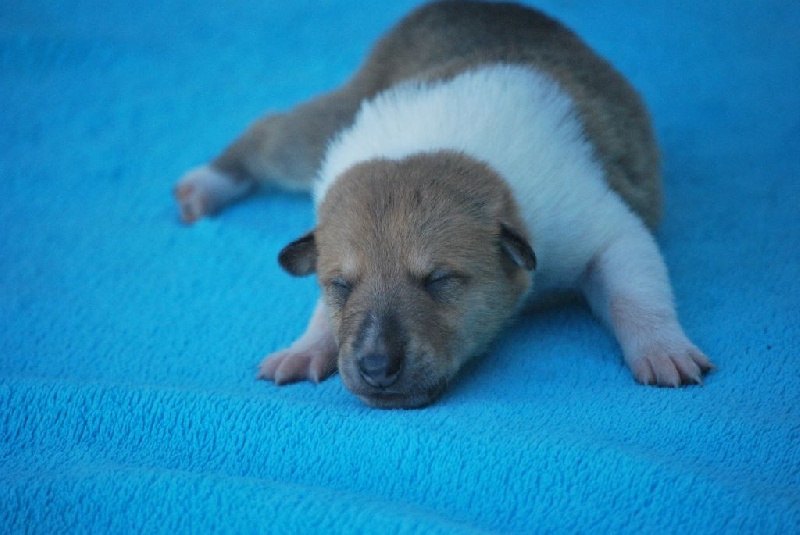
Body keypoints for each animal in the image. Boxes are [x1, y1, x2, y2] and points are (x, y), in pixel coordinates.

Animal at [173, 1, 712, 410]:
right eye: (341, 285)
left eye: (439, 280)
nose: (375, 367)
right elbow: (319, 314)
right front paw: (305, 348)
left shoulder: (593, 222)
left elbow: (632, 286)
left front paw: (663, 349)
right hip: (332, 120)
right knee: (268, 130)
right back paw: (203, 184)